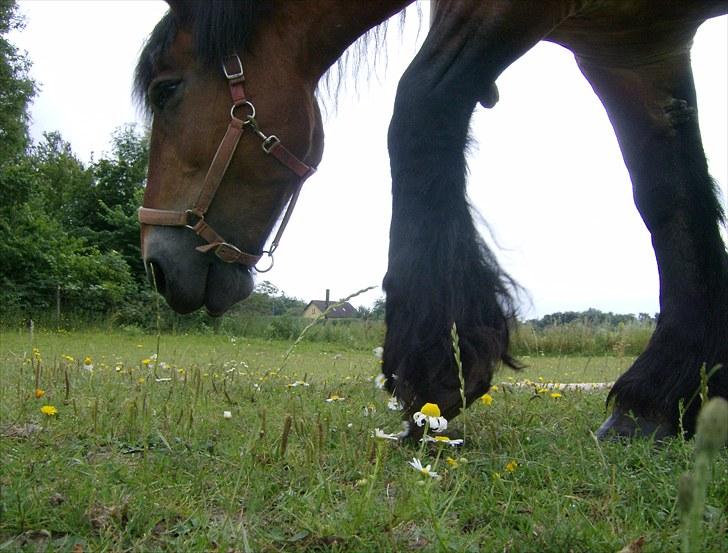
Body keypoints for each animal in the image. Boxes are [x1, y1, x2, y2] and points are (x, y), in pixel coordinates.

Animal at [136, 1, 728, 440]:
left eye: (167, 89)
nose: (156, 265)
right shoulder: (632, 50)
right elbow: (671, 197)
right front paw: (663, 397)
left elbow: (421, 109)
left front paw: (436, 373)